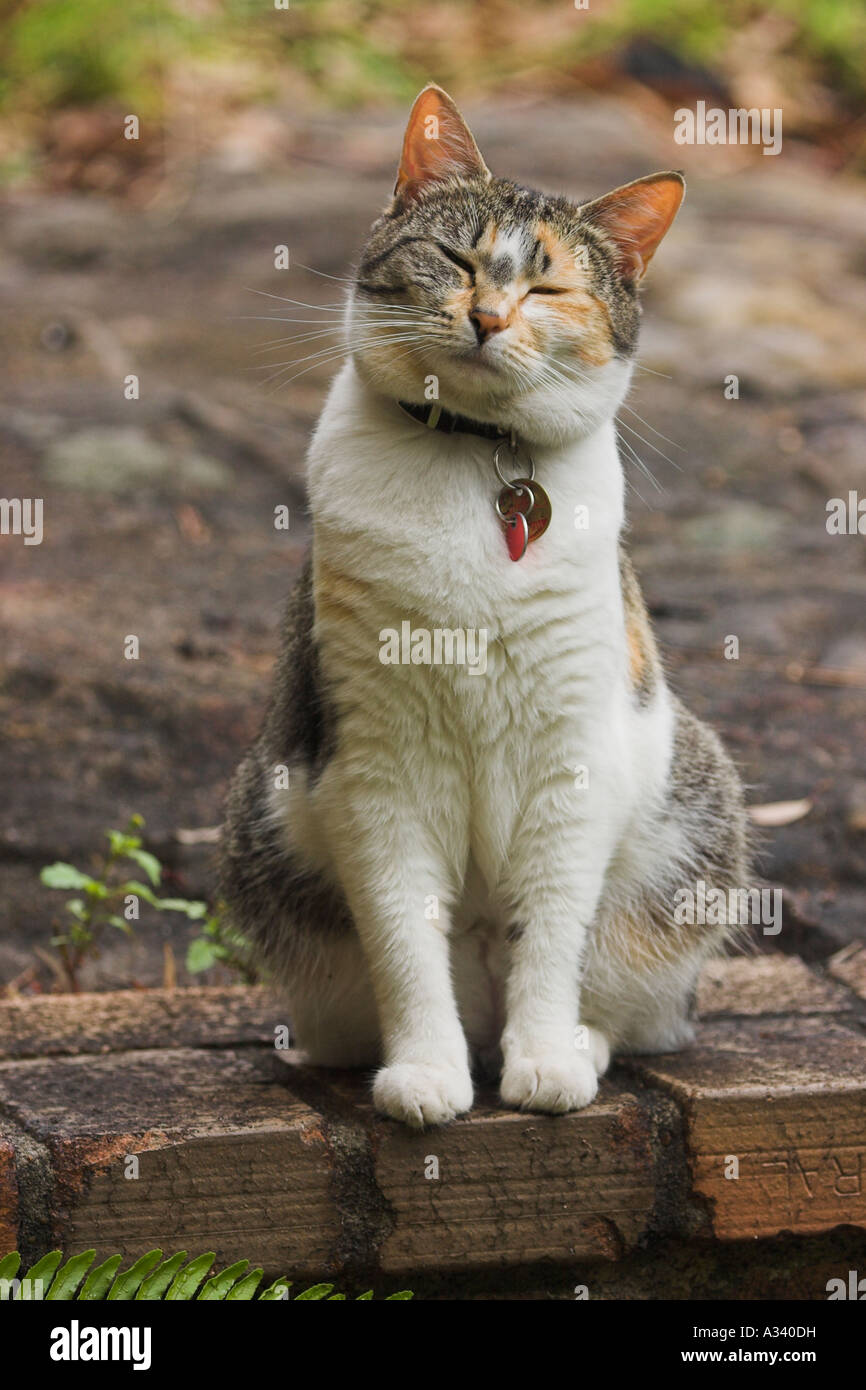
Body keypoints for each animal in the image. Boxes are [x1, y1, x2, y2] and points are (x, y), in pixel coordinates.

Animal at [219, 81, 750, 1128]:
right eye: (457, 258)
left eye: (548, 290)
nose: (491, 317)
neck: (474, 456)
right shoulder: (375, 766)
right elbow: (403, 940)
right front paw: (425, 1075)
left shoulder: (572, 755)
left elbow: (550, 931)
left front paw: (543, 1064)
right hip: (263, 824)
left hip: (696, 817)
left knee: (628, 1004)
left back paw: (573, 1044)